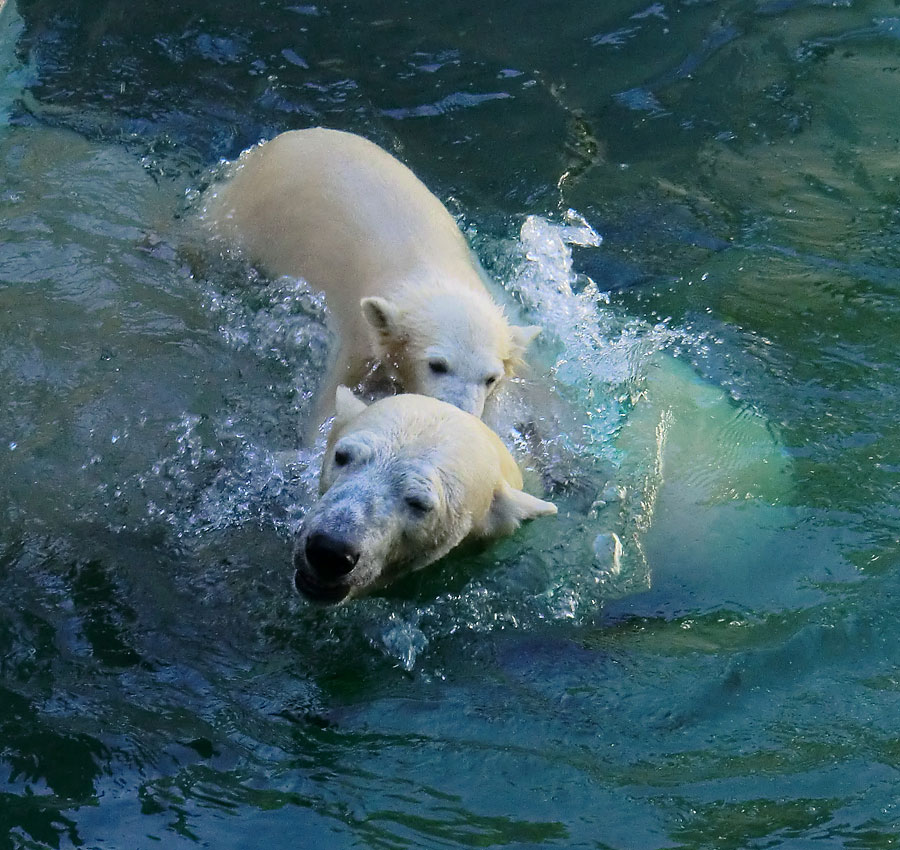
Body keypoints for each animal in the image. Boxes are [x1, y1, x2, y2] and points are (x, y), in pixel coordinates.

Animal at [206, 126, 540, 424]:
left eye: (490, 377)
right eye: (437, 365)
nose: (461, 412)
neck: (433, 274)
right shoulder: (362, 337)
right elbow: (336, 396)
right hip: (241, 216)